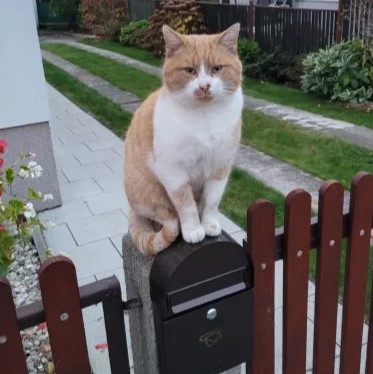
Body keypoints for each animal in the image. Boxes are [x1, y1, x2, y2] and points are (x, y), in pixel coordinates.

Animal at [123, 23, 243, 256]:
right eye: (190, 70)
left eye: (217, 68)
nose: (204, 86)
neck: (205, 118)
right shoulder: (173, 171)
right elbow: (185, 204)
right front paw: (194, 229)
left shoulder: (220, 166)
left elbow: (212, 200)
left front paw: (209, 224)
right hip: (150, 193)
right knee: (165, 216)